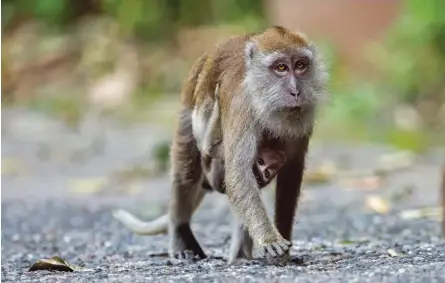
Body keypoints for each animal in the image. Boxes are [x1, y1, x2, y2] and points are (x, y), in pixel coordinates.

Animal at [112, 25, 328, 266]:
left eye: (300, 65)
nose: (295, 91)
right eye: (281, 67)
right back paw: (179, 232)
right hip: (186, 116)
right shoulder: (241, 105)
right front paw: (269, 238)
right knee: (187, 171)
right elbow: (239, 175)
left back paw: (241, 256)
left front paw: (283, 246)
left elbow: (290, 176)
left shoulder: (303, 117)